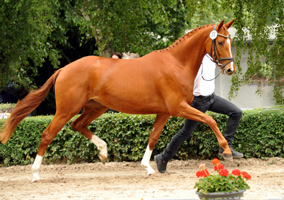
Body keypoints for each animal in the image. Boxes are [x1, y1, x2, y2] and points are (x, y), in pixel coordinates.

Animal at [0, 19, 235, 182]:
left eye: (231, 41)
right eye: (220, 41)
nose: (230, 69)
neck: (176, 64)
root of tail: (64, 69)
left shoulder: (164, 112)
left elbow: (153, 137)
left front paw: (148, 168)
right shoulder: (178, 108)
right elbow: (210, 120)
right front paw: (226, 151)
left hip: (96, 108)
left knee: (78, 125)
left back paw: (103, 152)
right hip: (67, 109)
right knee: (47, 135)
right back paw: (35, 174)